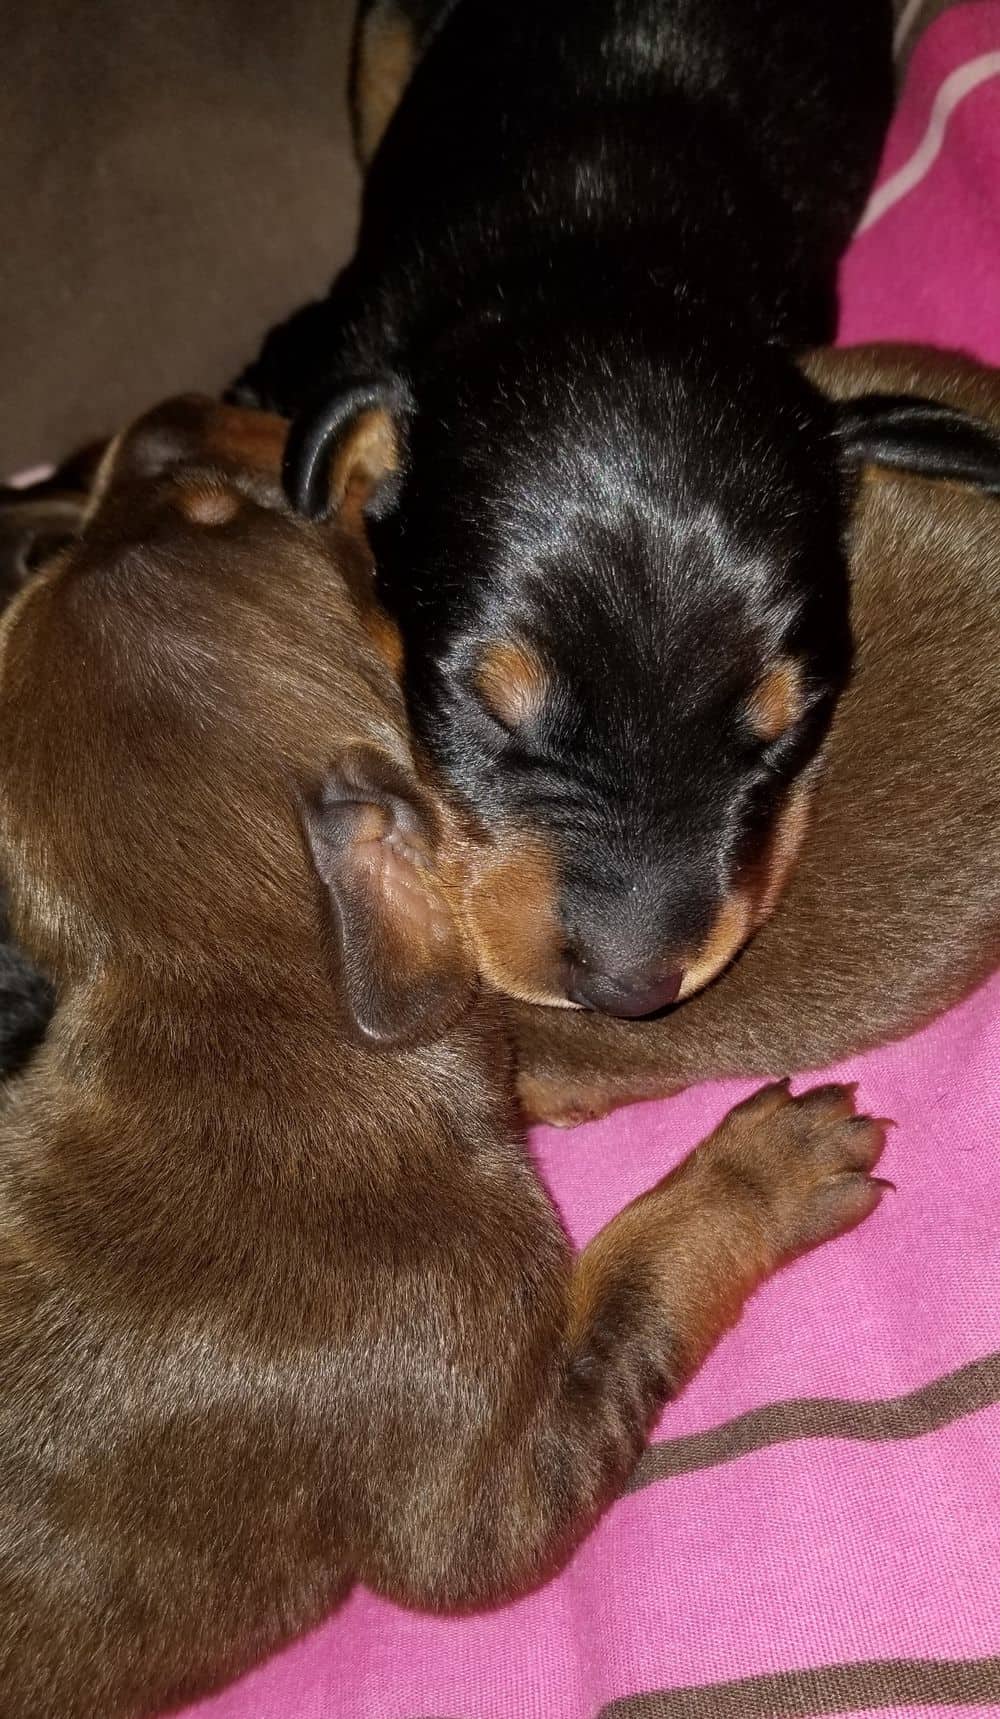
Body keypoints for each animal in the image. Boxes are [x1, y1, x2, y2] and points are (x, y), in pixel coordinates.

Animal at [0, 395, 886, 1712]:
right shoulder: (474, 1494)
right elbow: (626, 1308)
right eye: (216, 515)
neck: (237, 1013)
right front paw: (762, 1168)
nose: (164, 413)